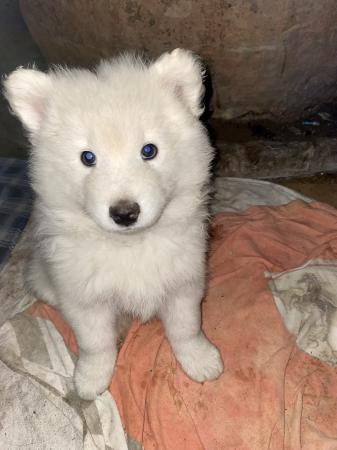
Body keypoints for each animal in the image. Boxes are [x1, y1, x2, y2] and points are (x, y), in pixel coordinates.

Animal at [4, 49, 223, 400]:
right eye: (87, 157)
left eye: (149, 151)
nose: (124, 213)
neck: (129, 243)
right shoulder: (83, 298)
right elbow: (96, 343)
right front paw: (91, 378)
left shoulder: (184, 281)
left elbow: (186, 327)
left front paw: (199, 359)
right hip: (45, 281)